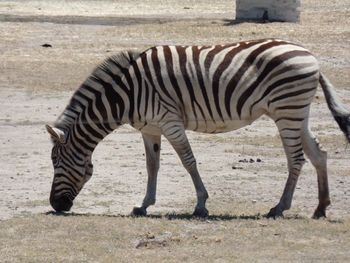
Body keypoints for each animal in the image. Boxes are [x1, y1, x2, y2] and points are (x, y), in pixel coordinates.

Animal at [46, 38, 350, 219]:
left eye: (56, 163)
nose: (55, 206)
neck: (127, 94)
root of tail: (310, 55)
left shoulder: (169, 121)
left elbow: (188, 161)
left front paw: (201, 205)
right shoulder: (150, 128)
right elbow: (152, 166)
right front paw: (144, 205)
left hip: (287, 110)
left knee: (297, 158)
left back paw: (279, 208)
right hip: (297, 112)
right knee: (318, 154)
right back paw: (320, 207)